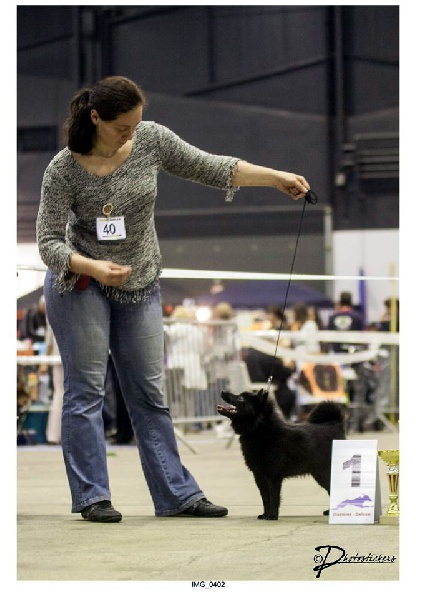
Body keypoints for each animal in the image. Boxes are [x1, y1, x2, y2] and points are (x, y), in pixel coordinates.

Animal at [217, 389, 346, 520]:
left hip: (324, 473)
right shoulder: (259, 476)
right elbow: (265, 498)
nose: (223, 391)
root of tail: (335, 424)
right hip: (319, 473)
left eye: (241, 398)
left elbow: (274, 497)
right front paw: (265, 515)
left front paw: (273, 516)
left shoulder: (273, 476)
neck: (259, 428)